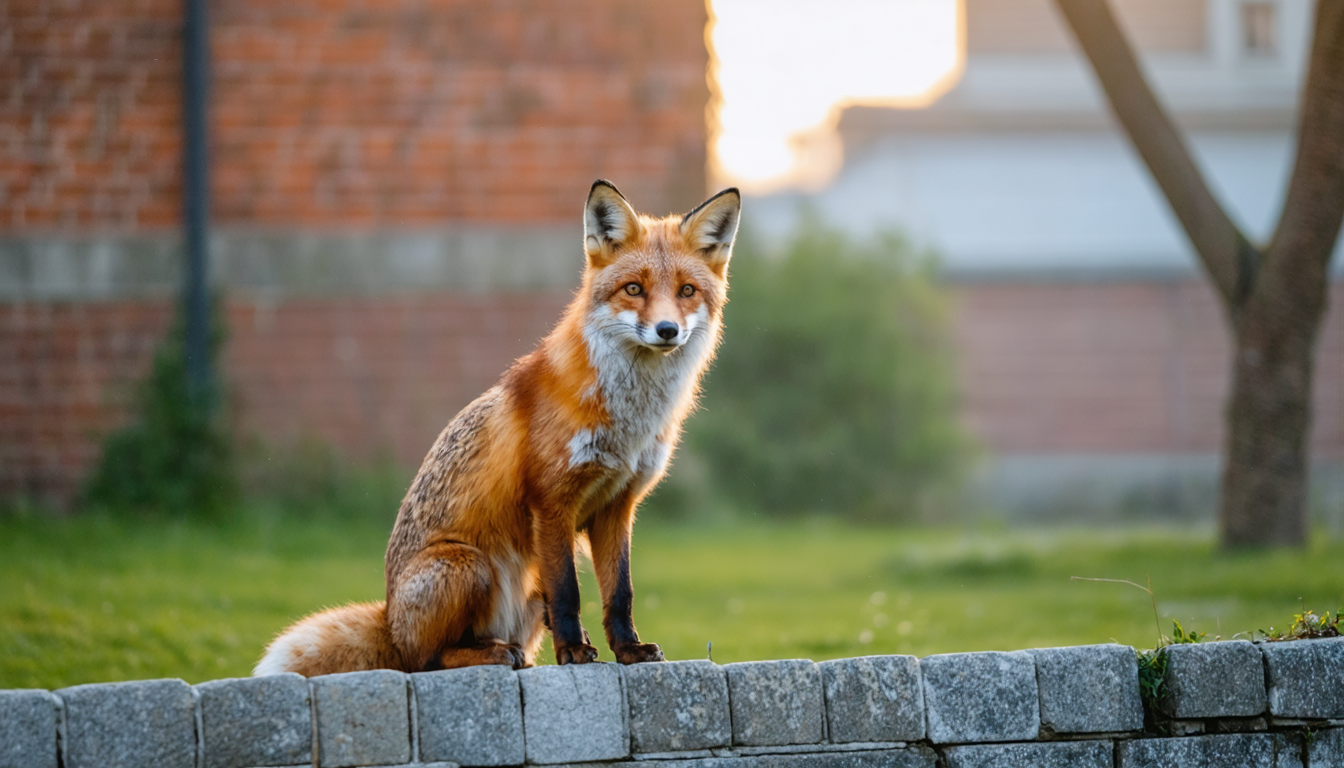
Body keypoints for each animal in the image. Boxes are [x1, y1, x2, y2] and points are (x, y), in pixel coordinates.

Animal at [254, 180, 741, 675]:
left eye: (686, 290)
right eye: (634, 289)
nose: (667, 330)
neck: (629, 418)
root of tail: (390, 621)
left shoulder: (617, 506)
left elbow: (619, 594)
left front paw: (628, 652)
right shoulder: (551, 501)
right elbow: (568, 592)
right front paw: (573, 652)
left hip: (521, 590)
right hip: (468, 566)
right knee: (427, 659)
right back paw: (492, 653)